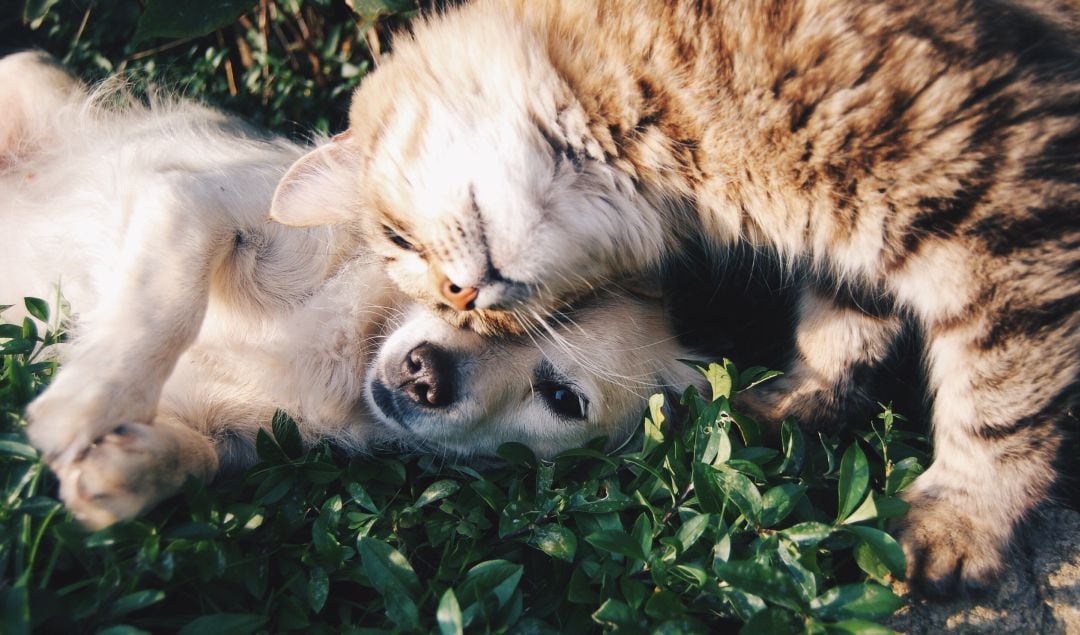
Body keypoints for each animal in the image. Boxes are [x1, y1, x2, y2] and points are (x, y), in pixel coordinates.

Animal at [0, 53, 704, 531]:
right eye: (461, 292)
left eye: (562, 399)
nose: (425, 375)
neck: (351, 348)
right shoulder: (194, 202)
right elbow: (163, 306)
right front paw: (87, 403)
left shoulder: (236, 436)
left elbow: (197, 458)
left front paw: (124, 469)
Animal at [267, 1, 1080, 596]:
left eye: (397, 237)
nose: (462, 297)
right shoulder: (859, 241)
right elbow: (840, 333)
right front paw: (791, 405)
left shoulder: (1003, 208)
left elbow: (1000, 402)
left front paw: (962, 520)